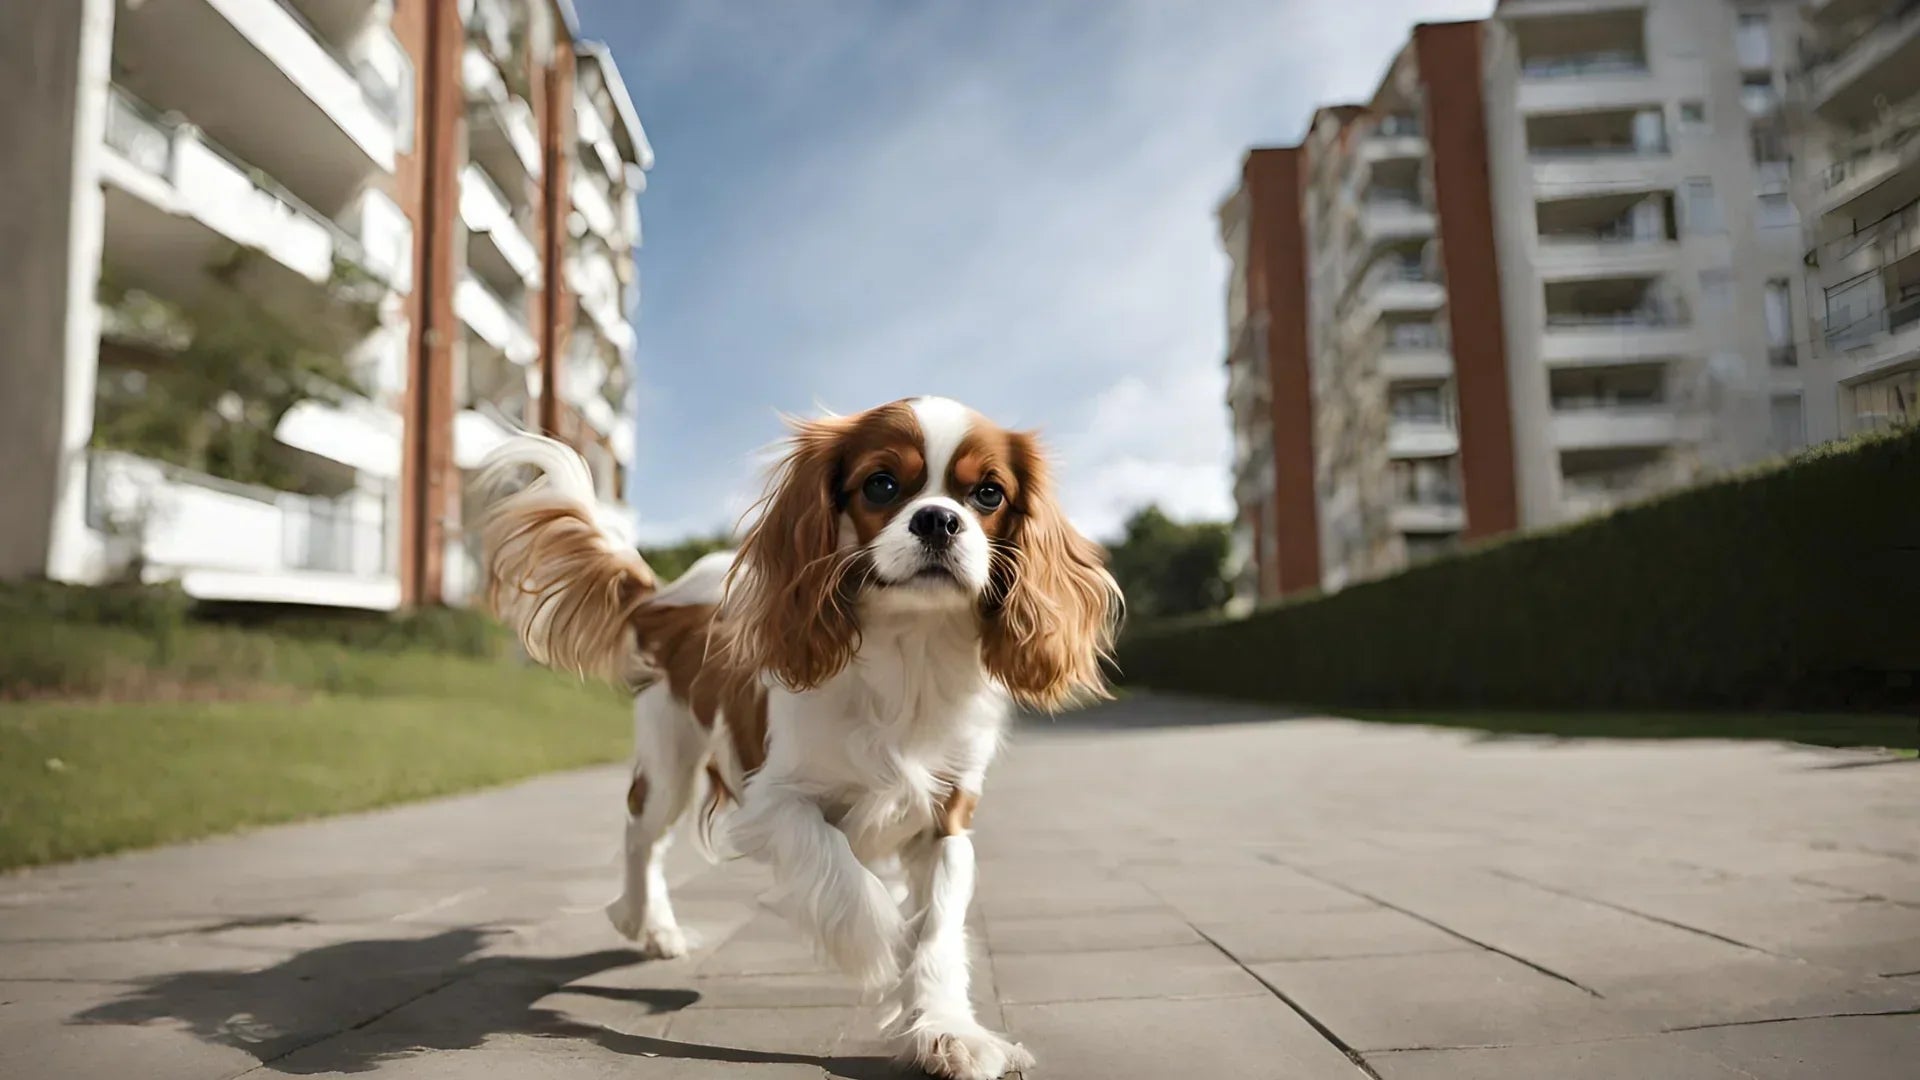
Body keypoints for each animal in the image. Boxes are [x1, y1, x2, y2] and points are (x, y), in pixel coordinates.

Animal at [470, 395, 1121, 1076]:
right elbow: (838, 866)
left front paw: (946, 1028)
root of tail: (666, 602)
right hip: (669, 761)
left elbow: (937, 930)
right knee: (641, 834)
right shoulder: (772, 801)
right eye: (881, 485)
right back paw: (646, 923)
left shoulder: (946, 820)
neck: (910, 649)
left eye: (989, 494)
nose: (940, 520)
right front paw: (883, 948)